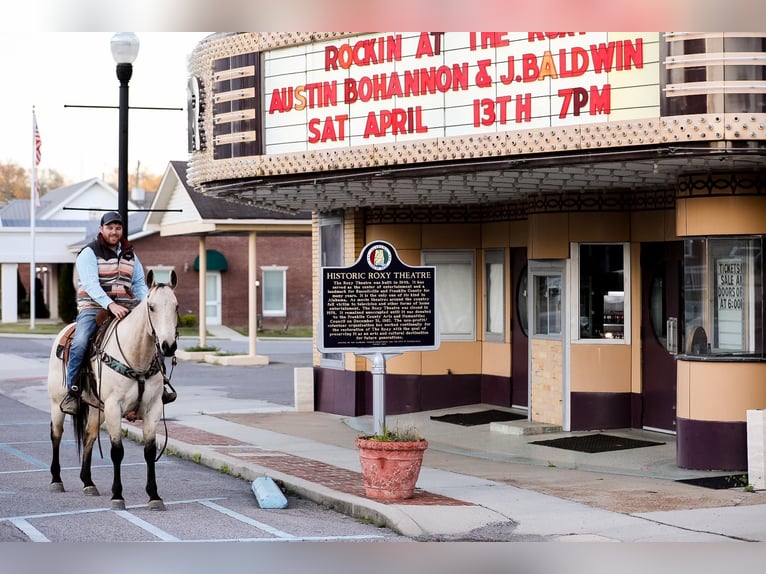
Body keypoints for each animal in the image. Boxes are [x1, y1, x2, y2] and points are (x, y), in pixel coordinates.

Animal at [47, 272, 179, 512]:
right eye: (152, 306)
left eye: (176, 306)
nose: (168, 346)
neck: (136, 356)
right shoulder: (113, 407)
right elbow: (117, 451)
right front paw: (117, 495)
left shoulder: (153, 407)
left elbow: (149, 451)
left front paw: (154, 496)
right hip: (57, 403)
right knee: (56, 435)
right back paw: (56, 480)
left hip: (96, 409)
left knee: (89, 435)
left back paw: (88, 482)